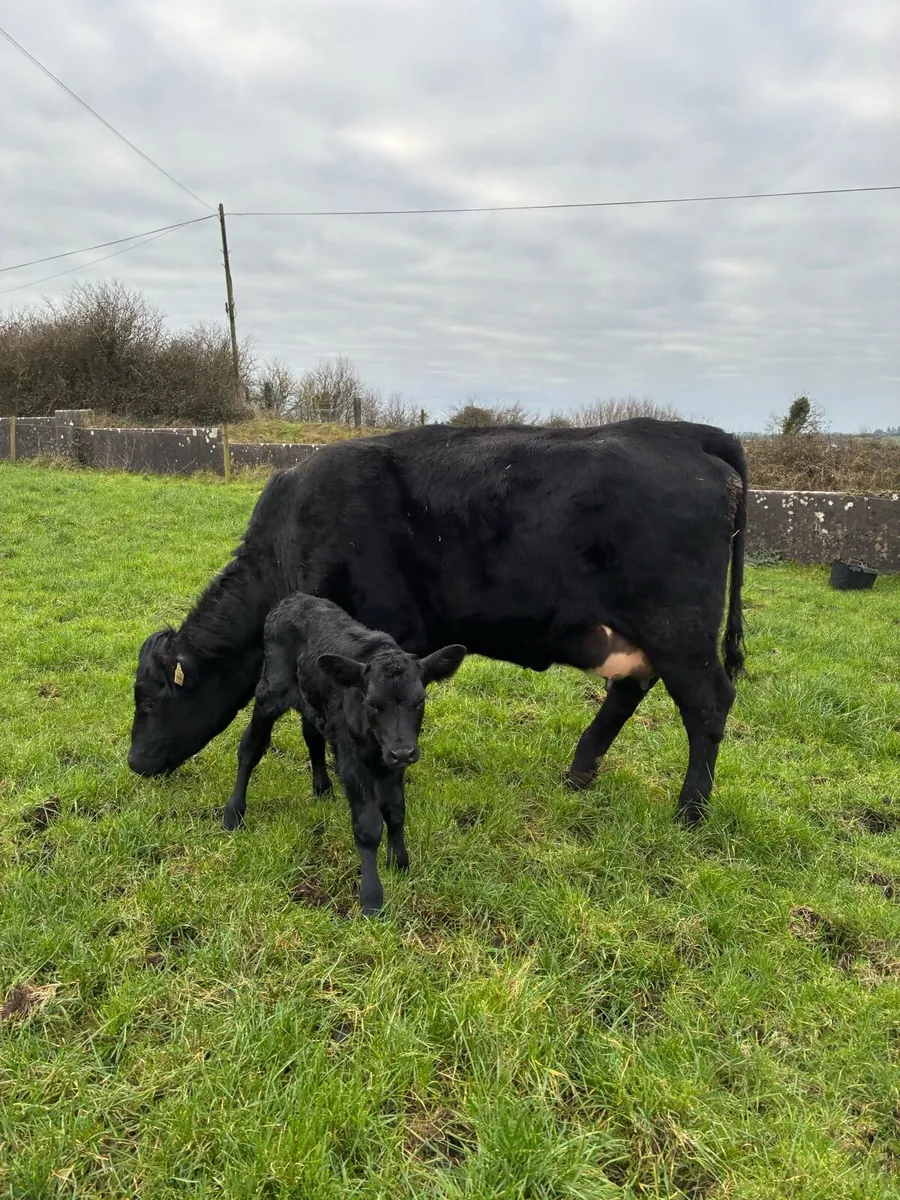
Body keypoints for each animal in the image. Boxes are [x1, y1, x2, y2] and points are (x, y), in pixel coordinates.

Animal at [128, 418, 747, 826]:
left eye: (151, 702)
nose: (134, 763)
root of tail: (680, 432)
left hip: (680, 628)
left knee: (708, 703)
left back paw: (690, 810)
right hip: (641, 635)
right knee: (628, 692)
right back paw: (578, 775)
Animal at [223, 592, 466, 914]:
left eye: (420, 700)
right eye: (373, 703)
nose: (403, 752)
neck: (376, 745)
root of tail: (294, 598)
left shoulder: (393, 764)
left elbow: (396, 811)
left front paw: (400, 864)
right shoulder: (352, 763)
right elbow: (368, 825)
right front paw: (372, 898)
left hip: (313, 703)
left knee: (312, 735)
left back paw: (322, 788)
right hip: (270, 691)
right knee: (251, 747)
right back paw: (233, 814)